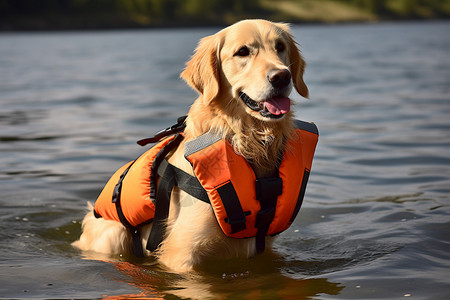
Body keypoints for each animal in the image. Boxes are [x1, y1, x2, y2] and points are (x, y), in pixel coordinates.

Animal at [74, 18, 312, 272]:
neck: (248, 141)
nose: (282, 76)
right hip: (113, 233)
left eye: (280, 47)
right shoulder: (182, 252)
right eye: (243, 52)